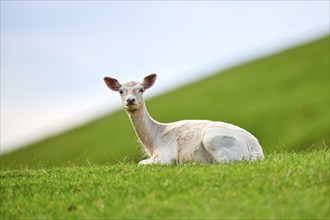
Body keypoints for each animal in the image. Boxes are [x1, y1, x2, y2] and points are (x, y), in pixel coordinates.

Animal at [104, 74, 264, 165]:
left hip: (213, 138)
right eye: (121, 91)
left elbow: (140, 163)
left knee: (226, 162)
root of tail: (258, 152)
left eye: (141, 89)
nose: (130, 100)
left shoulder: (166, 156)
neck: (153, 142)